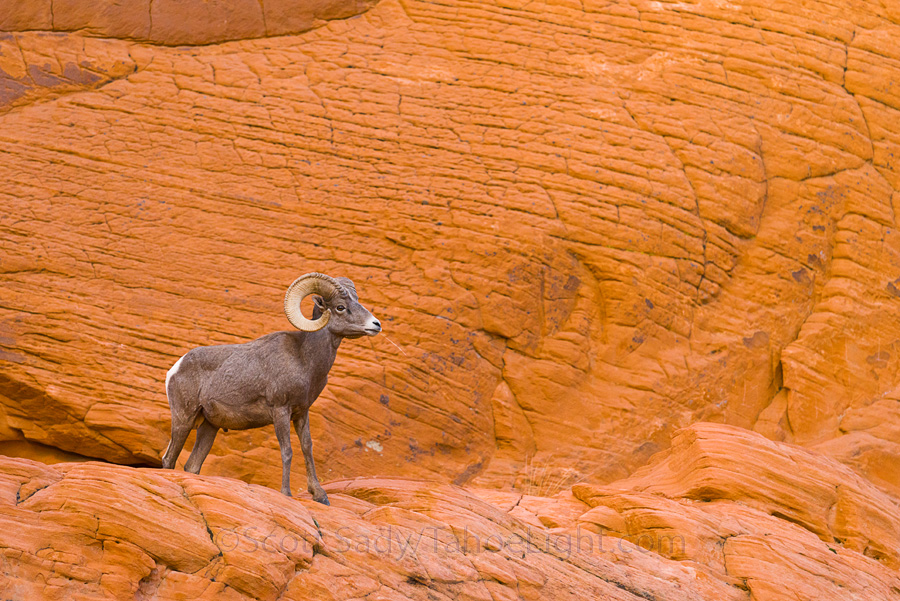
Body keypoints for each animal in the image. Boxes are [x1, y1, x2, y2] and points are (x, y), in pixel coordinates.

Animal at [161, 272, 381, 505]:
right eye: (340, 307)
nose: (376, 324)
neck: (305, 359)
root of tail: (176, 368)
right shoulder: (280, 410)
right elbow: (287, 451)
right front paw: (286, 493)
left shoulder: (301, 413)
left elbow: (307, 448)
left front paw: (320, 496)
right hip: (184, 419)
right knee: (169, 459)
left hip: (209, 427)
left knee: (192, 466)